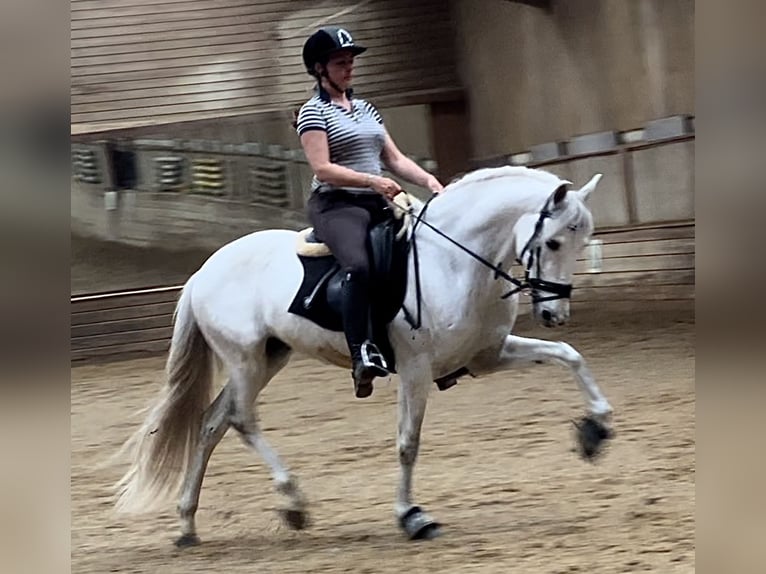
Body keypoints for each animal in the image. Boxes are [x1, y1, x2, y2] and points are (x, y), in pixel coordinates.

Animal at [115, 164, 616, 548]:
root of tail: (202, 272)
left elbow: (569, 355)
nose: (554, 313)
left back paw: (187, 524)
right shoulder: (415, 370)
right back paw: (293, 503)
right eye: (554, 242)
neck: (455, 262)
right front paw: (412, 516)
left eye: (580, 242)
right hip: (245, 359)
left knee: (212, 423)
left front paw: (596, 429)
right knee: (240, 419)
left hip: (270, 357)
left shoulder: (485, 357)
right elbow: (408, 443)